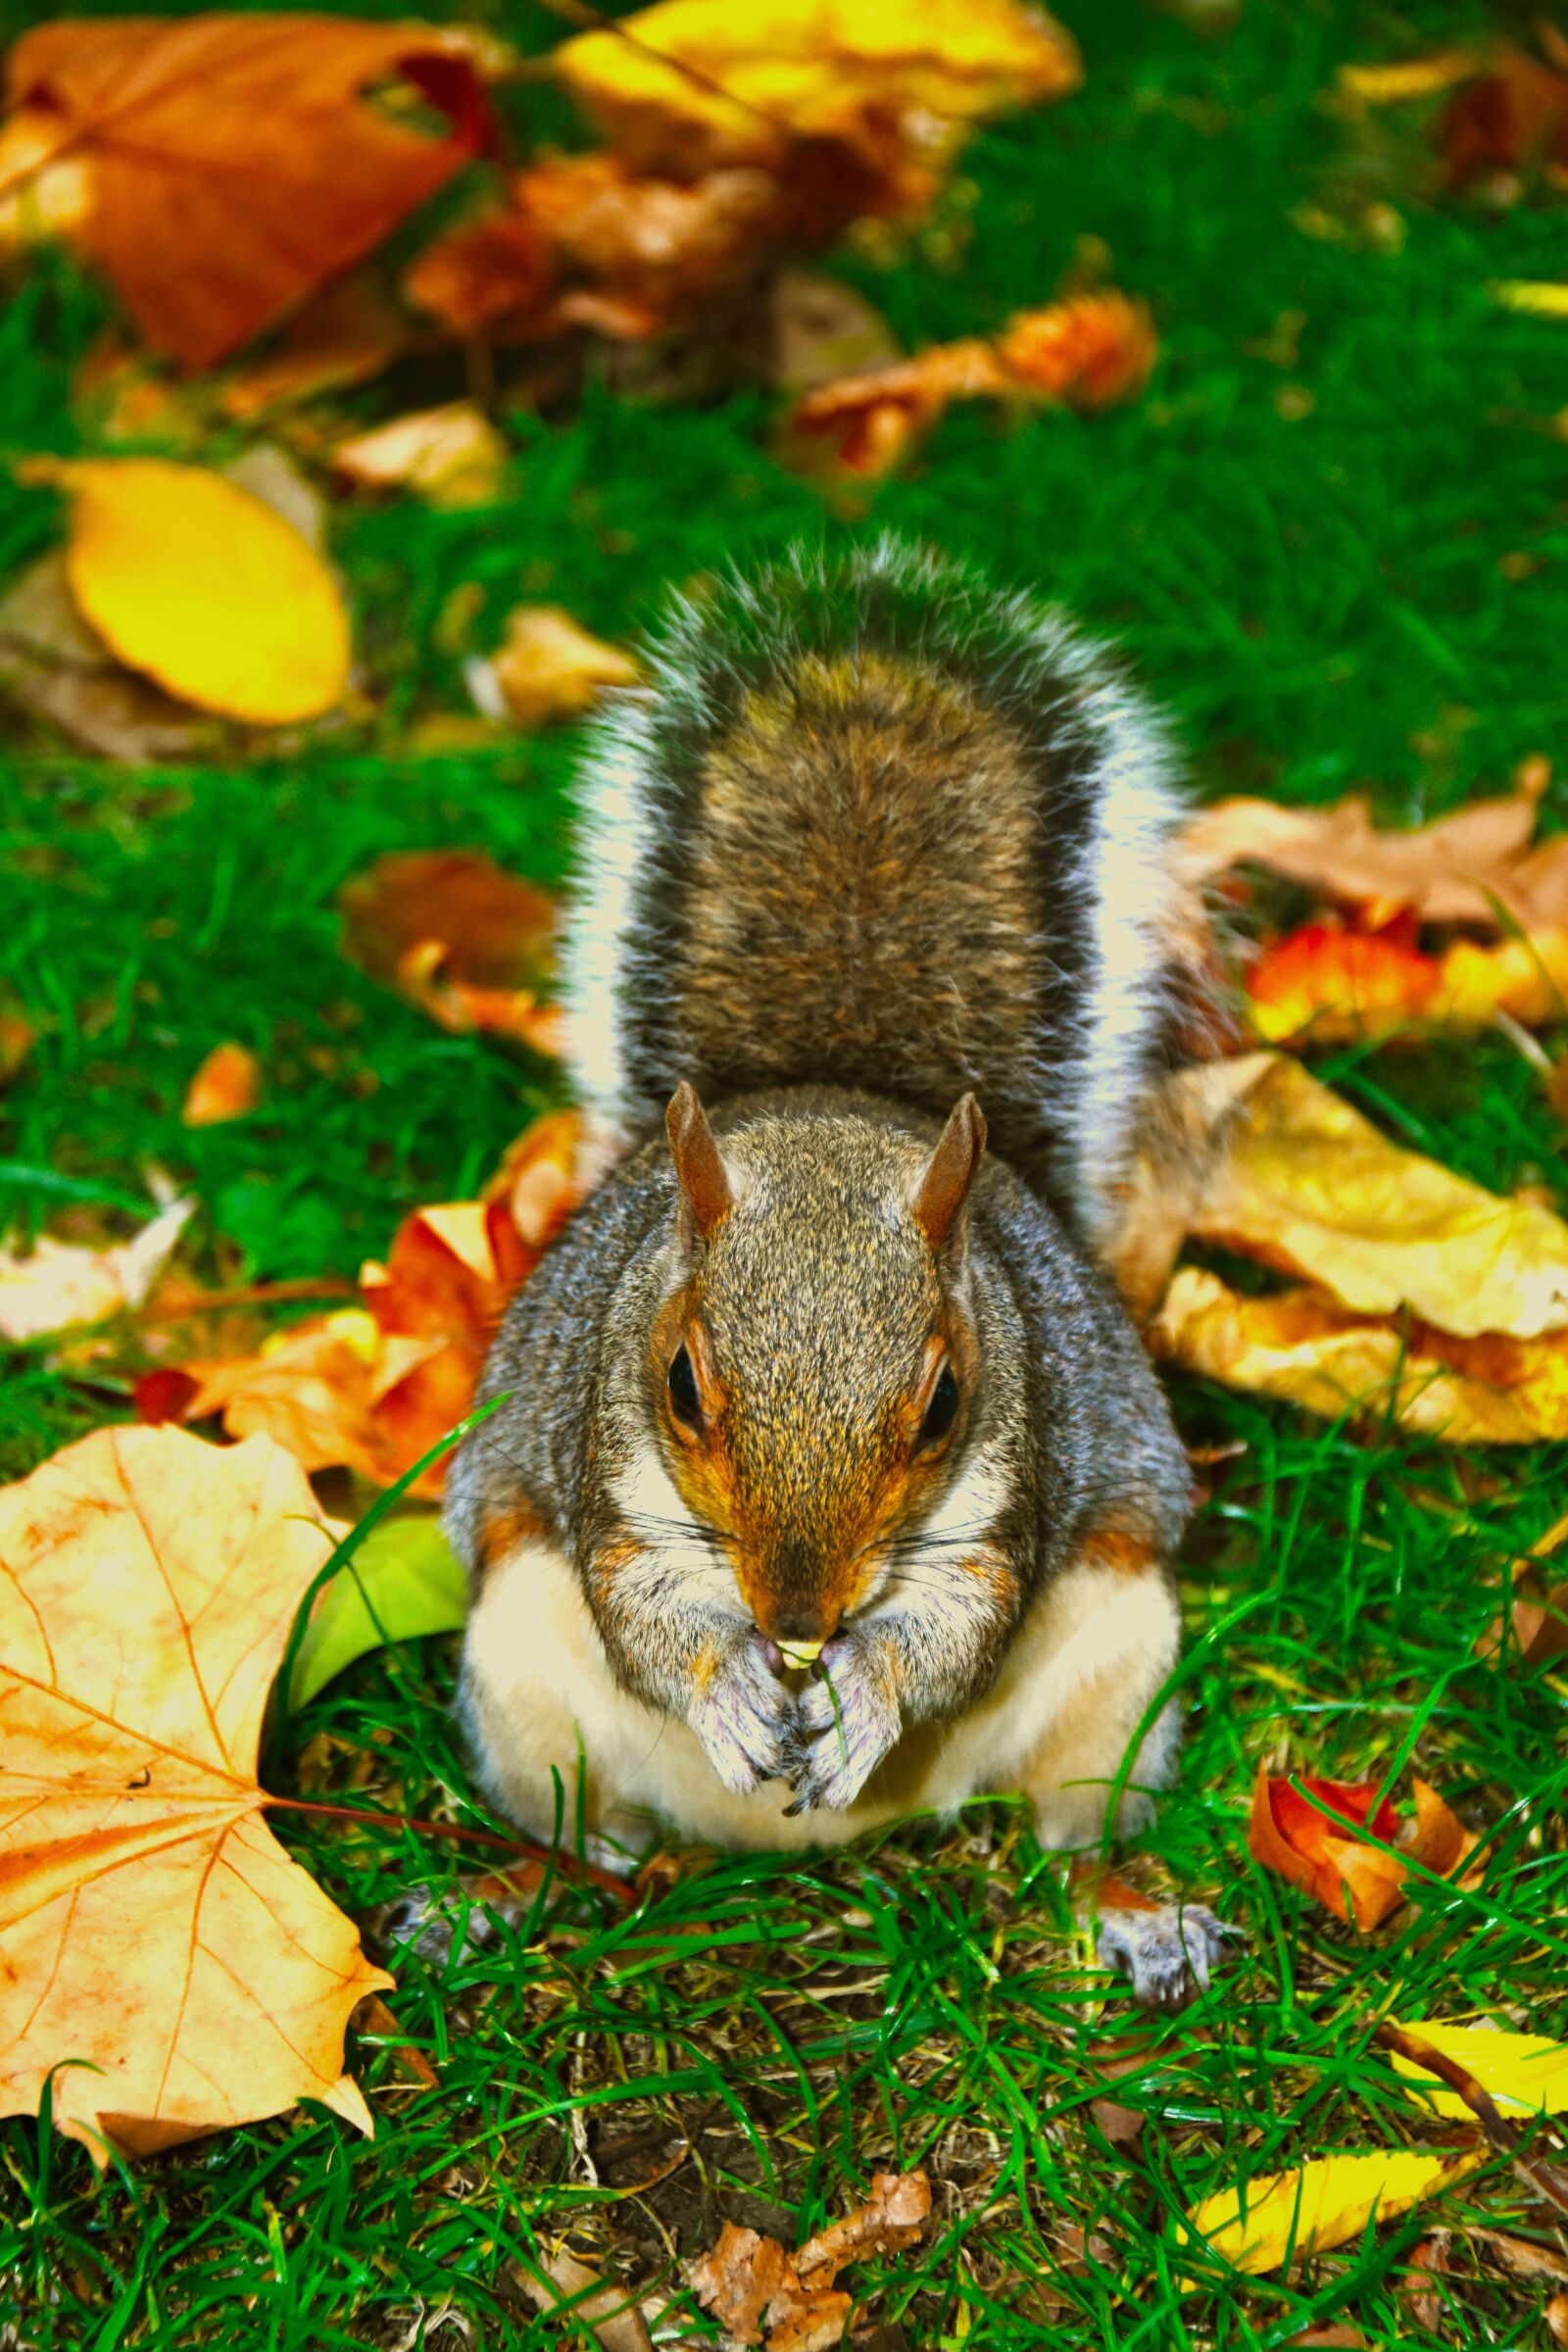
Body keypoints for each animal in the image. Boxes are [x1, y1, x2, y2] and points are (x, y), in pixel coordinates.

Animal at [444, 538, 1210, 1914]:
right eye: (680, 1382)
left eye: (946, 1399)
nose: (798, 1629)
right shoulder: (606, 1457)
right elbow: (639, 1608)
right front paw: (732, 1687)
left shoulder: (1009, 1473)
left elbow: (965, 1622)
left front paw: (864, 1694)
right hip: (517, 1659)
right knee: (566, 1817)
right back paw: (507, 1895)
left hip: (1123, 1663)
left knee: (1073, 1825)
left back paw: (1128, 1915)